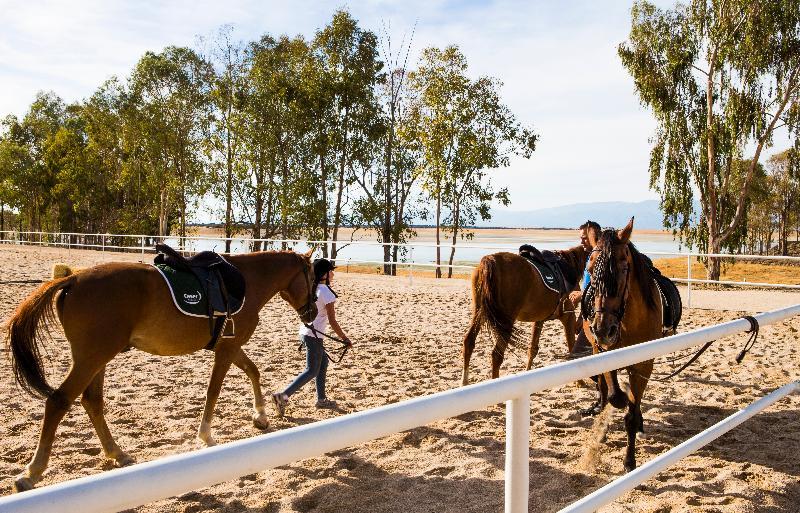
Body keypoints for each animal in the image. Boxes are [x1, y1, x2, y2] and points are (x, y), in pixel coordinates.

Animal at [7, 250, 318, 490]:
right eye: (314, 279)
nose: (313, 313)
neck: (246, 281)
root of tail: (73, 277)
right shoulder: (227, 349)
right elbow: (214, 391)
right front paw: (206, 436)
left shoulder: (231, 346)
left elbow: (253, 371)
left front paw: (261, 417)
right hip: (91, 358)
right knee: (58, 401)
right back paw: (32, 473)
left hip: (96, 358)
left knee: (91, 401)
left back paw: (117, 453)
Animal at [462, 245, 588, 384]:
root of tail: (491, 260)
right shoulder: (569, 317)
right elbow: (572, 348)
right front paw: (580, 381)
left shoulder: (539, 320)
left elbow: (532, 349)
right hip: (505, 322)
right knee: (496, 355)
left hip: (480, 313)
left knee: (469, 342)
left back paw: (464, 382)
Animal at [580, 218, 664, 470]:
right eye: (589, 270)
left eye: (624, 269)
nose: (602, 329)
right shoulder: (607, 353)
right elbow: (615, 396)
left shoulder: (644, 365)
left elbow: (632, 414)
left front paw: (629, 460)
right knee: (604, 387)